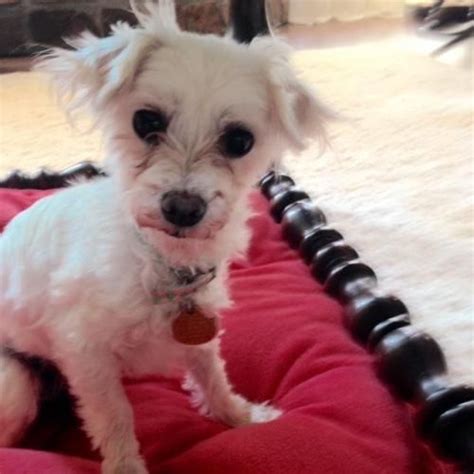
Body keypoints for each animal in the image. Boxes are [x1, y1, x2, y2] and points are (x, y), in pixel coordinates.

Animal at [0, 1, 326, 472]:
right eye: (146, 121)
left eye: (240, 140)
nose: (183, 208)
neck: (162, 262)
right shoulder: (85, 354)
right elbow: (115, 416)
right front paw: (125, 466)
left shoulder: (202, 328)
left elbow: (213, 375)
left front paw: (241, 417)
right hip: (13, 384)